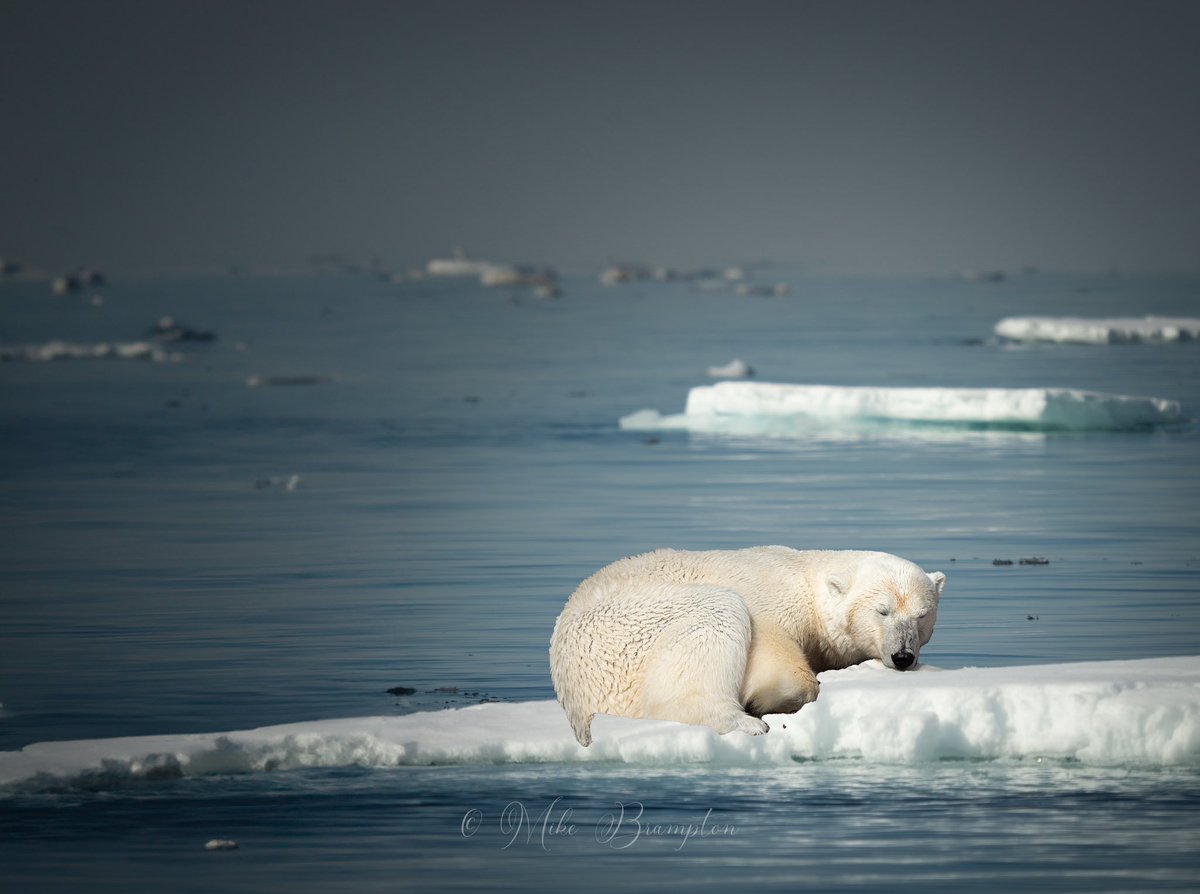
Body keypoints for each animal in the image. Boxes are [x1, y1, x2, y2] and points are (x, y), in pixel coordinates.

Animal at [547, 544, 945, 744]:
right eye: (883, 610)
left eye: (921, 615)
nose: (903, 656)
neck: (807, 584)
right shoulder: (770, 606)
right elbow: (777, 655)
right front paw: (773, 699)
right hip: (634, 629)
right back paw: (748, 724)